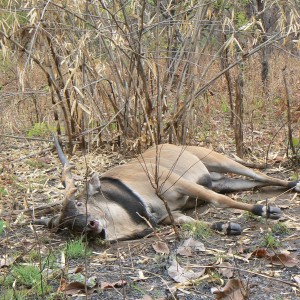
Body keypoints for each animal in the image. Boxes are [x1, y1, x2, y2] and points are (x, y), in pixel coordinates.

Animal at [35, 138, 300, 241]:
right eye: (68, 226)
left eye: (80, 202)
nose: (90, 226)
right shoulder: (167, 216)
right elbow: (189, 222)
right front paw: (227, 226)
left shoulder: (178, 182)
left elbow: (219, 201)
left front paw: (264, 211)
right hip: (221, 180)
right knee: (254, 183)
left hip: (219, 161)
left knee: (259, 175)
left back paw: (291, 187)